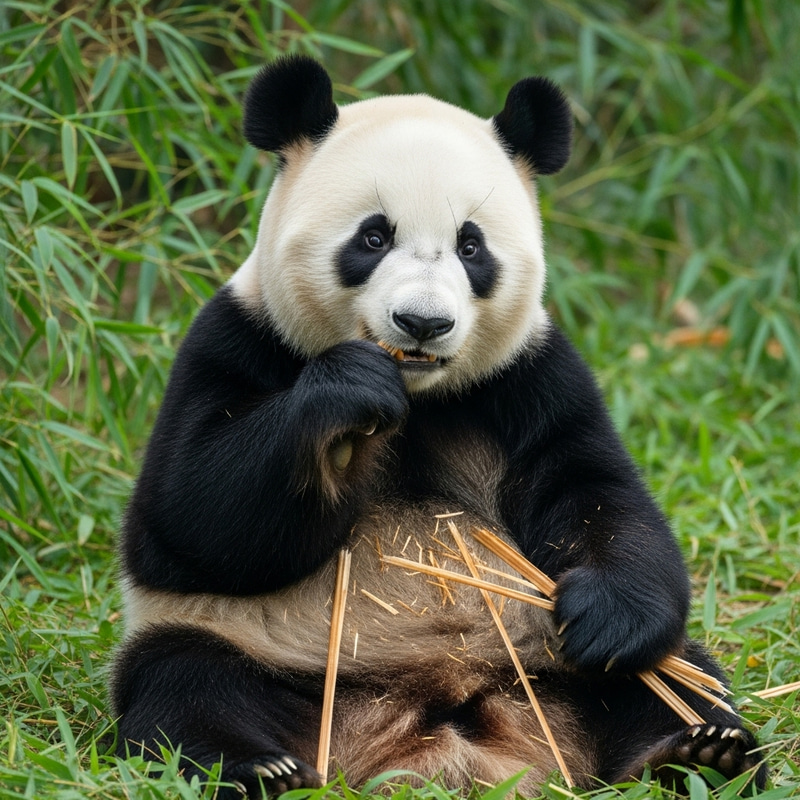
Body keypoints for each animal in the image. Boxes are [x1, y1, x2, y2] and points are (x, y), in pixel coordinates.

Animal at [111, 55, 766, 798]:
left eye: (471, 247)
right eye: (373, 237)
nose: (422, 322)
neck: (419, 396)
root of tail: (433, 727)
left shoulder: (531, 377)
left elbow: (598, 493)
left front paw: (606, 618)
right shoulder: (235, 337)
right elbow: (188, 518)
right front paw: (347, 397)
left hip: (549, 668)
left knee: (673, 678)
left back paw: (700, 751)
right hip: (247, 646)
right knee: (187, 688)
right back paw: (262, 769)